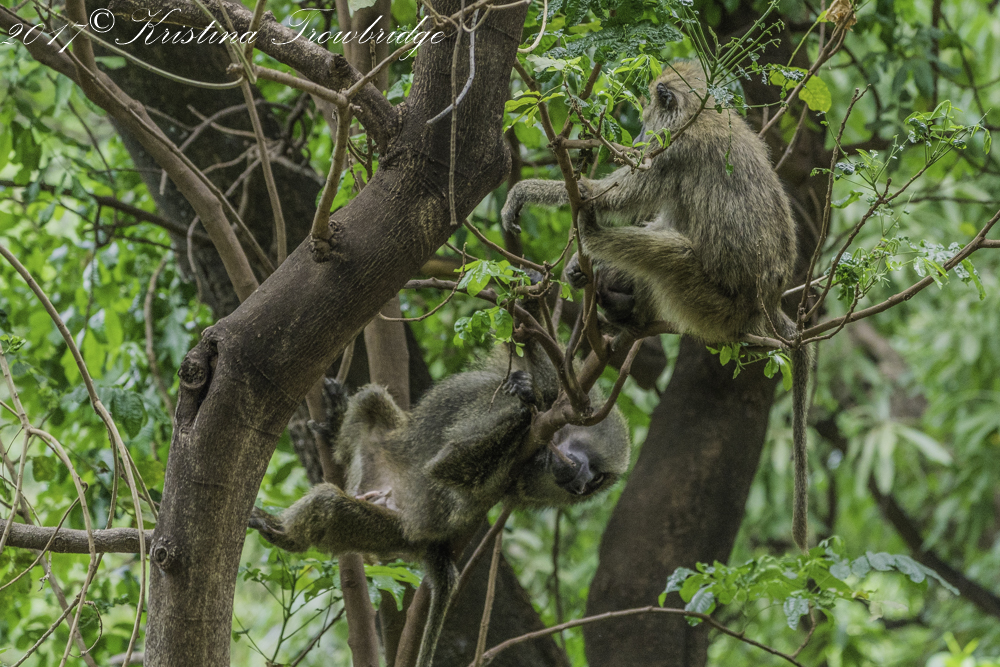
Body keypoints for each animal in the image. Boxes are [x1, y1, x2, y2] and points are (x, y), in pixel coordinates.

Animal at [250, 339, 630, 667]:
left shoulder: (516, 478)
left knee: (329, 504)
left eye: (596, 480)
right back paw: (334, 427)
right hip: (380, 459)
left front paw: (526, 401)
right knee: (371, 401)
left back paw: (281, 533)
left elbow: (447, 466)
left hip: (389, 532)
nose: (581, 486)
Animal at [501, 60, 813, 551]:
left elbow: (607, 195)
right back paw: (611, 294)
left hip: (711, 302)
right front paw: (581, 270)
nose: (642, 132)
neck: (699, 113)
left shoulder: (672, 153)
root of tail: (765, 302)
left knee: (667, 250)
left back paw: (599, 252)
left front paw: (531, 192)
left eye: (650, 110)